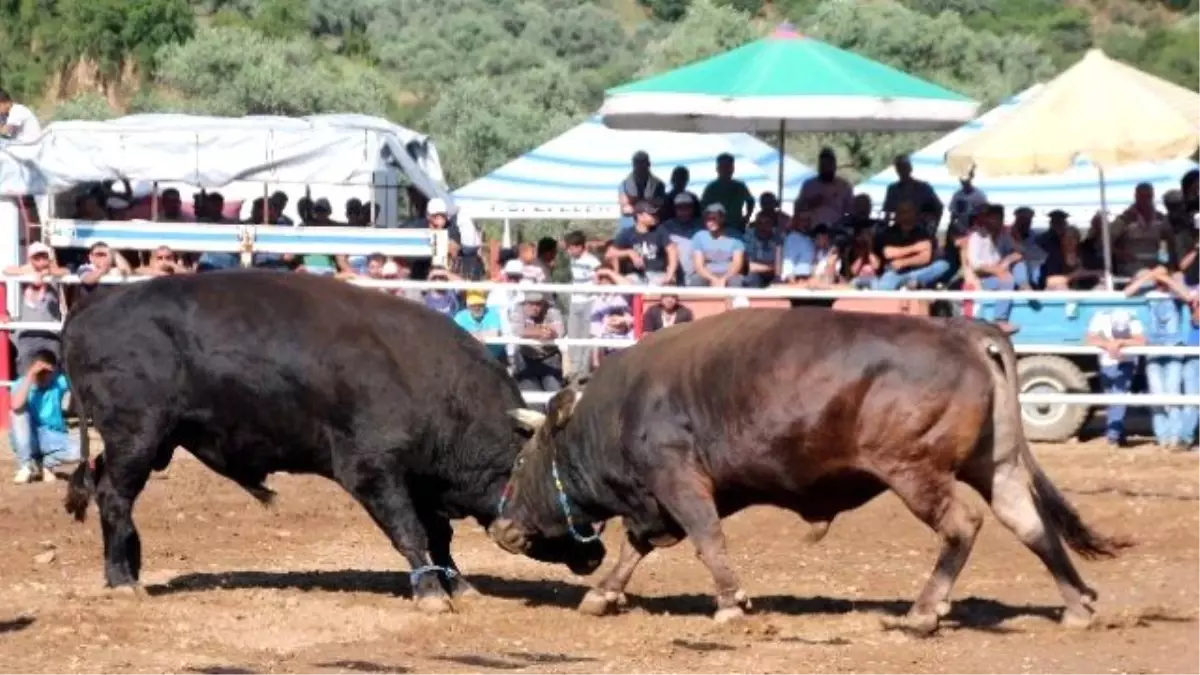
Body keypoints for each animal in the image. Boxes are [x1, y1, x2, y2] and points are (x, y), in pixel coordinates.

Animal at [58, 269, 600, 610]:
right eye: (558, 486)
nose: (595, 553)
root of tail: (93, 304)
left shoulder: (422, 480)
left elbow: (439, 537)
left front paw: (458, 585)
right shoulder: (373, 472)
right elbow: (411, 532)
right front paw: (430, 593)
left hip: (150, 444)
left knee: (106, 491)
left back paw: (125, 569)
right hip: (136, 438)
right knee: (114, 498)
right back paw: (123, 581)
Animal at [484, 306, 1123, 629]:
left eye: (522, 458)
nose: (502, 527)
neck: (615, 411)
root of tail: (962, 331)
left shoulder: (678, 479)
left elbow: (706, 538)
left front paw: (731, 603)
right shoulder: (654, 499)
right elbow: (635, 547)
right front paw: (604, 595)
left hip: (914, 471)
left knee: (961, 527)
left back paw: (922, 612)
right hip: (998, 465)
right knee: (1031, 524)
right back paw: (1075, 606)